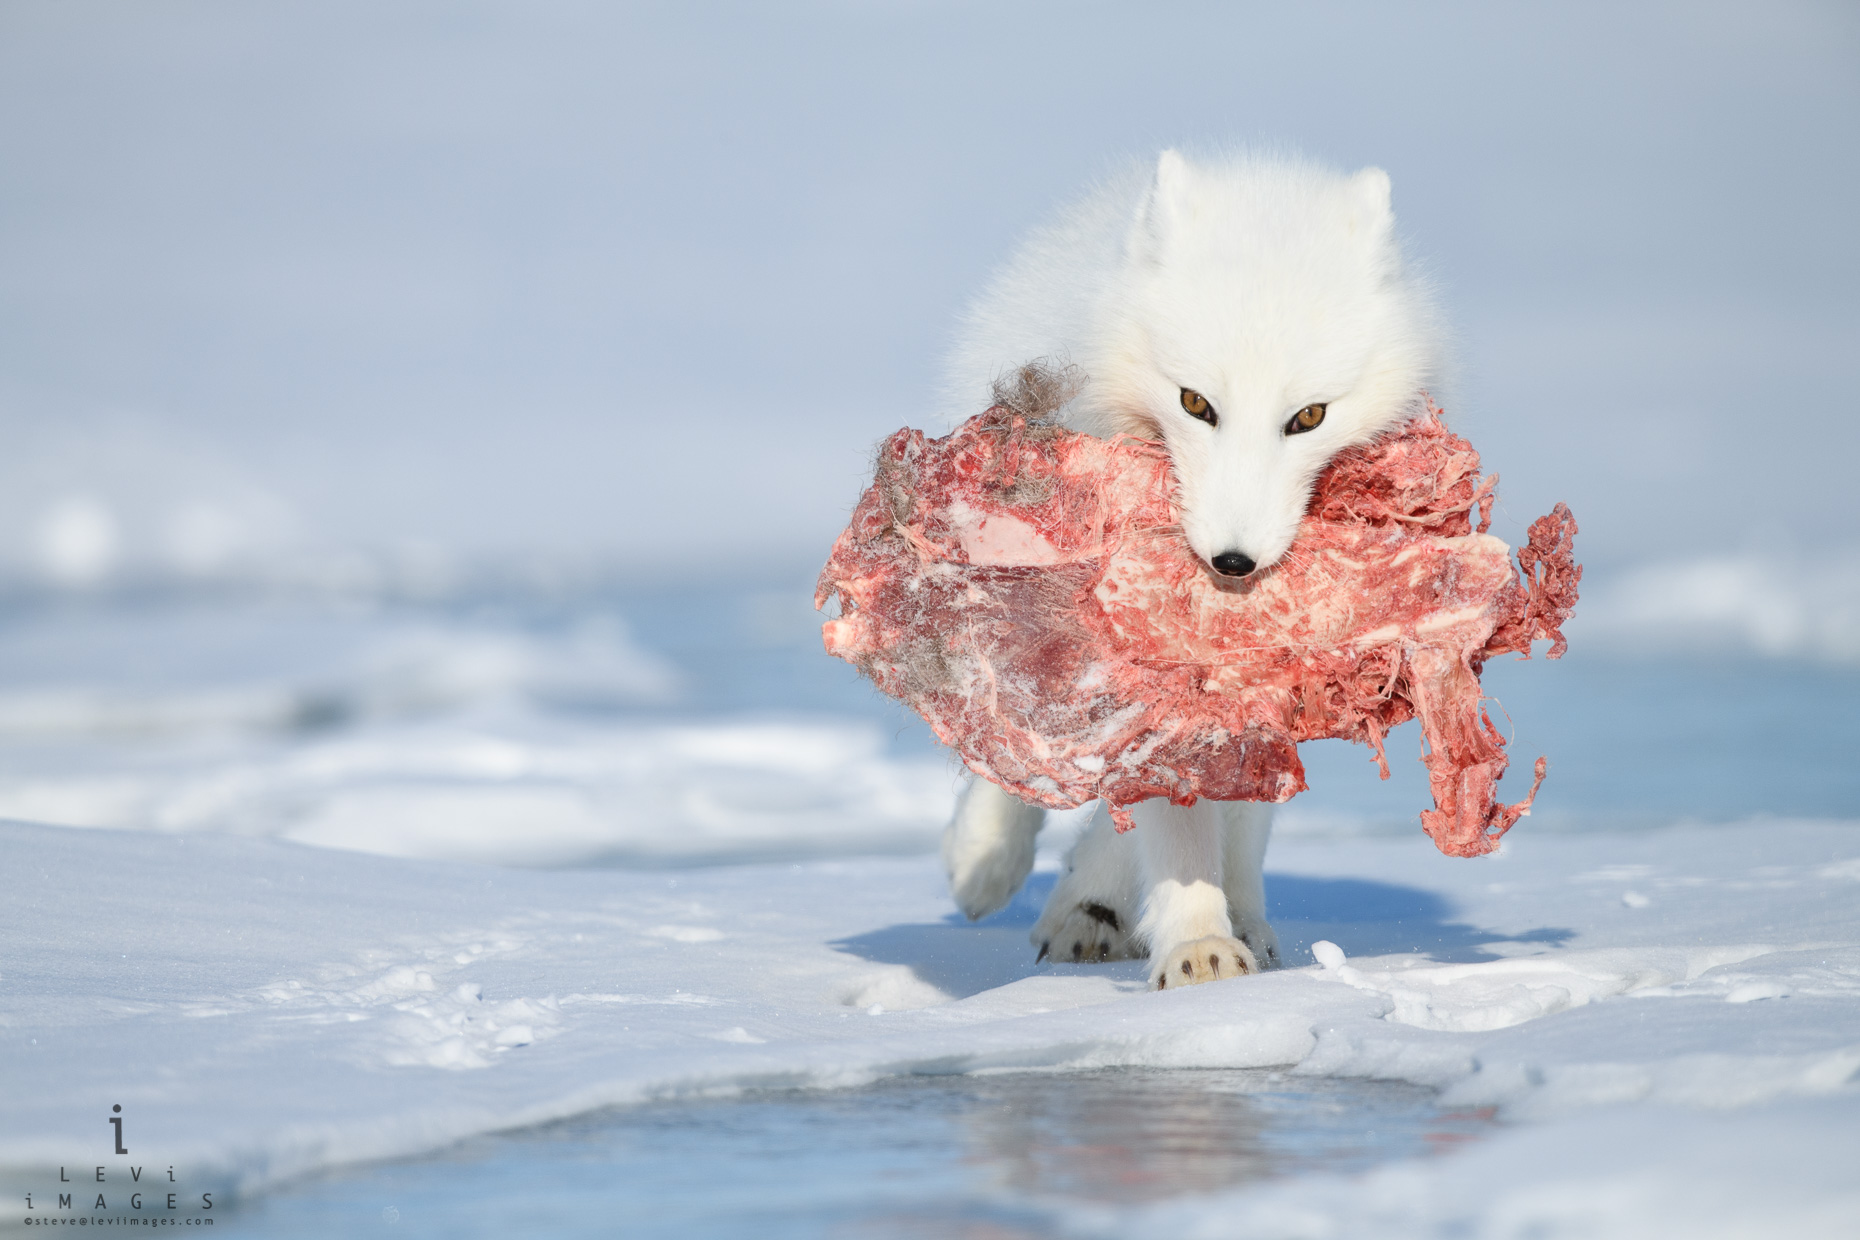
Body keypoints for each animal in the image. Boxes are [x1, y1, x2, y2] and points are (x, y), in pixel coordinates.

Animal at [944, 150, 1435, 989]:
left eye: (1310, 416)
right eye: (1195, 403)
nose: (1233, 561)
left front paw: (1191, 928)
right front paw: (1197, 945)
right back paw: (987, 862)